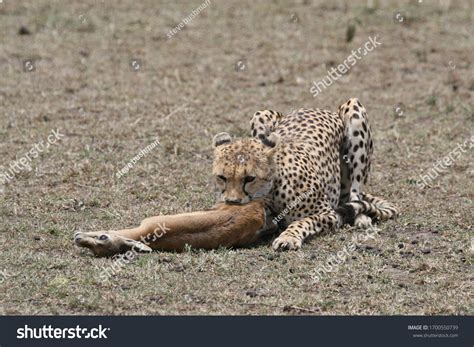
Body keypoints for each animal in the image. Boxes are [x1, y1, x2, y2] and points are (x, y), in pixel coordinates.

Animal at [213, 97, 398, 250]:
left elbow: (304, 221)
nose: (232, 202)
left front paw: (288, 237)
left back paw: (361, 218)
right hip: (260, 114)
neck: (271, 191)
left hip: (354, 109)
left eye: (250, 178)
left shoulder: (329, 214)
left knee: (355, 192)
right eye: (221, 178)